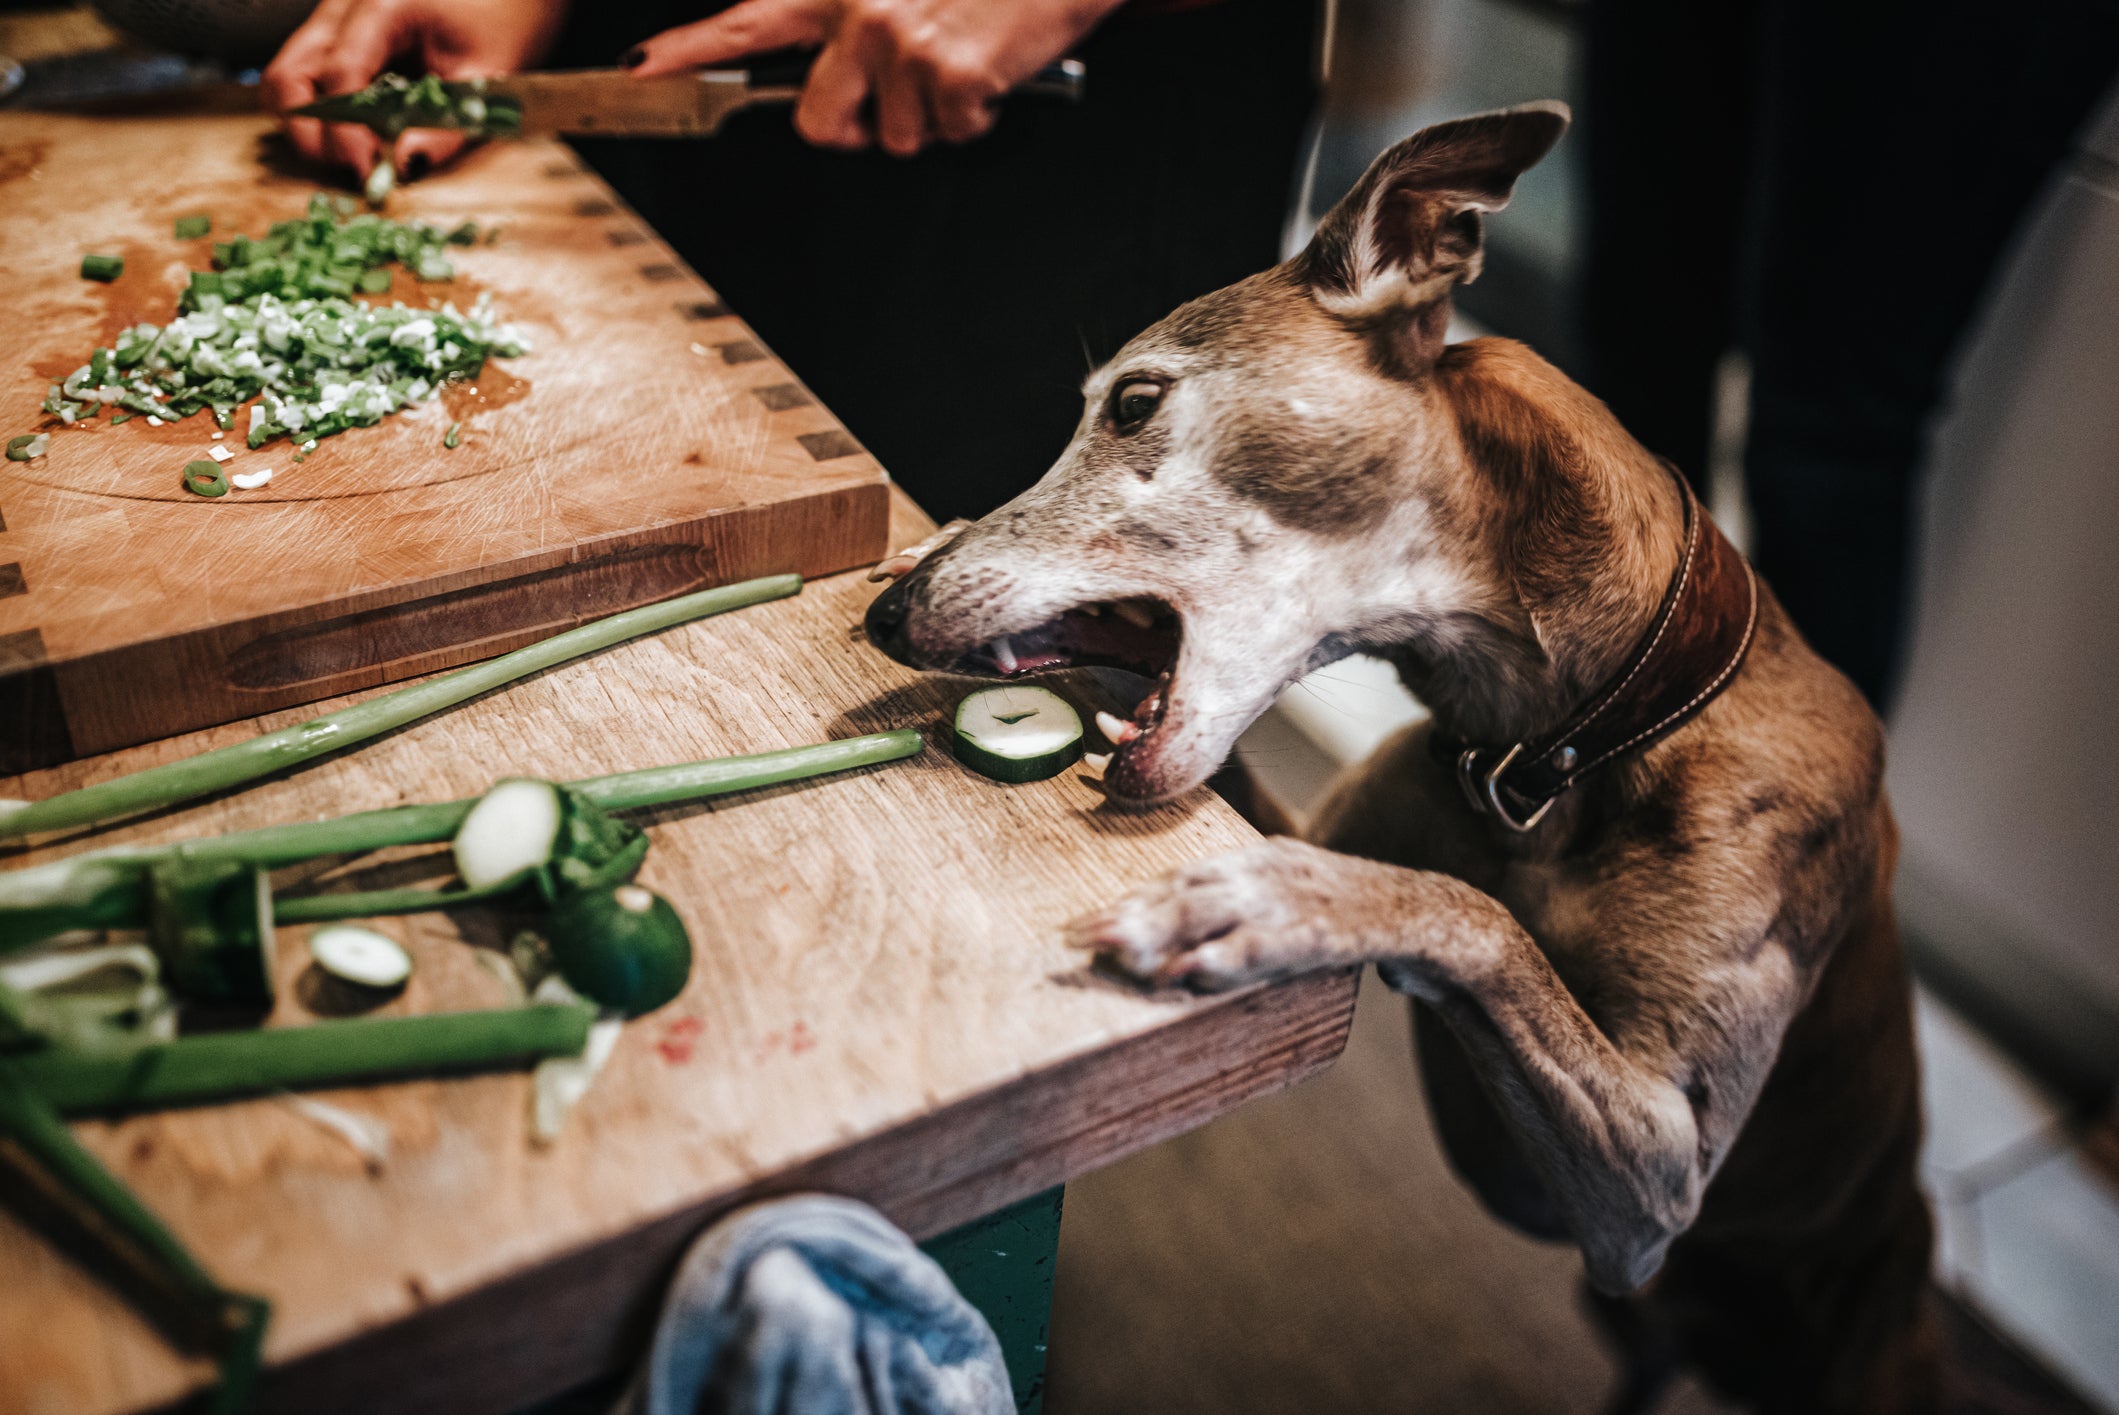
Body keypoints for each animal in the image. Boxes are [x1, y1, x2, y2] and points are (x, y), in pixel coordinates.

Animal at [860, 104, 1941, 1406]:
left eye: (1132, 400)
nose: (889, 614)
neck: (1565, 749)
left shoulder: (1659, 1176)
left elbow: (1474, 915)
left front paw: (1271, 907)